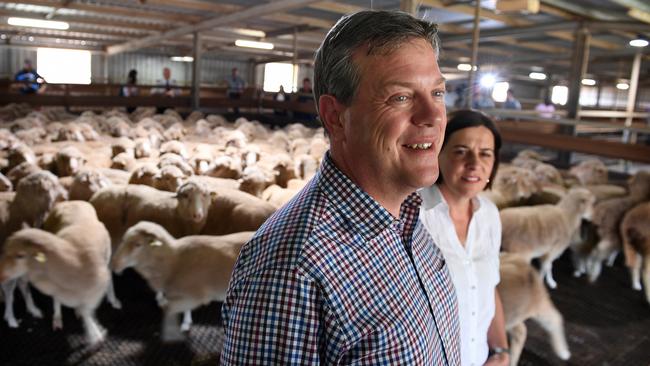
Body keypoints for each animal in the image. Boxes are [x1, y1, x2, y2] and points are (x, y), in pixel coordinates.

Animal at [110, 222, 252, 342]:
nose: (114, 264)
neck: (174, 261)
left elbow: (168, 309)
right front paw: (186, 323)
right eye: (123, 239)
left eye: (138, 244)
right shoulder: (183, 294)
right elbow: (183, 310)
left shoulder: (195, 296)